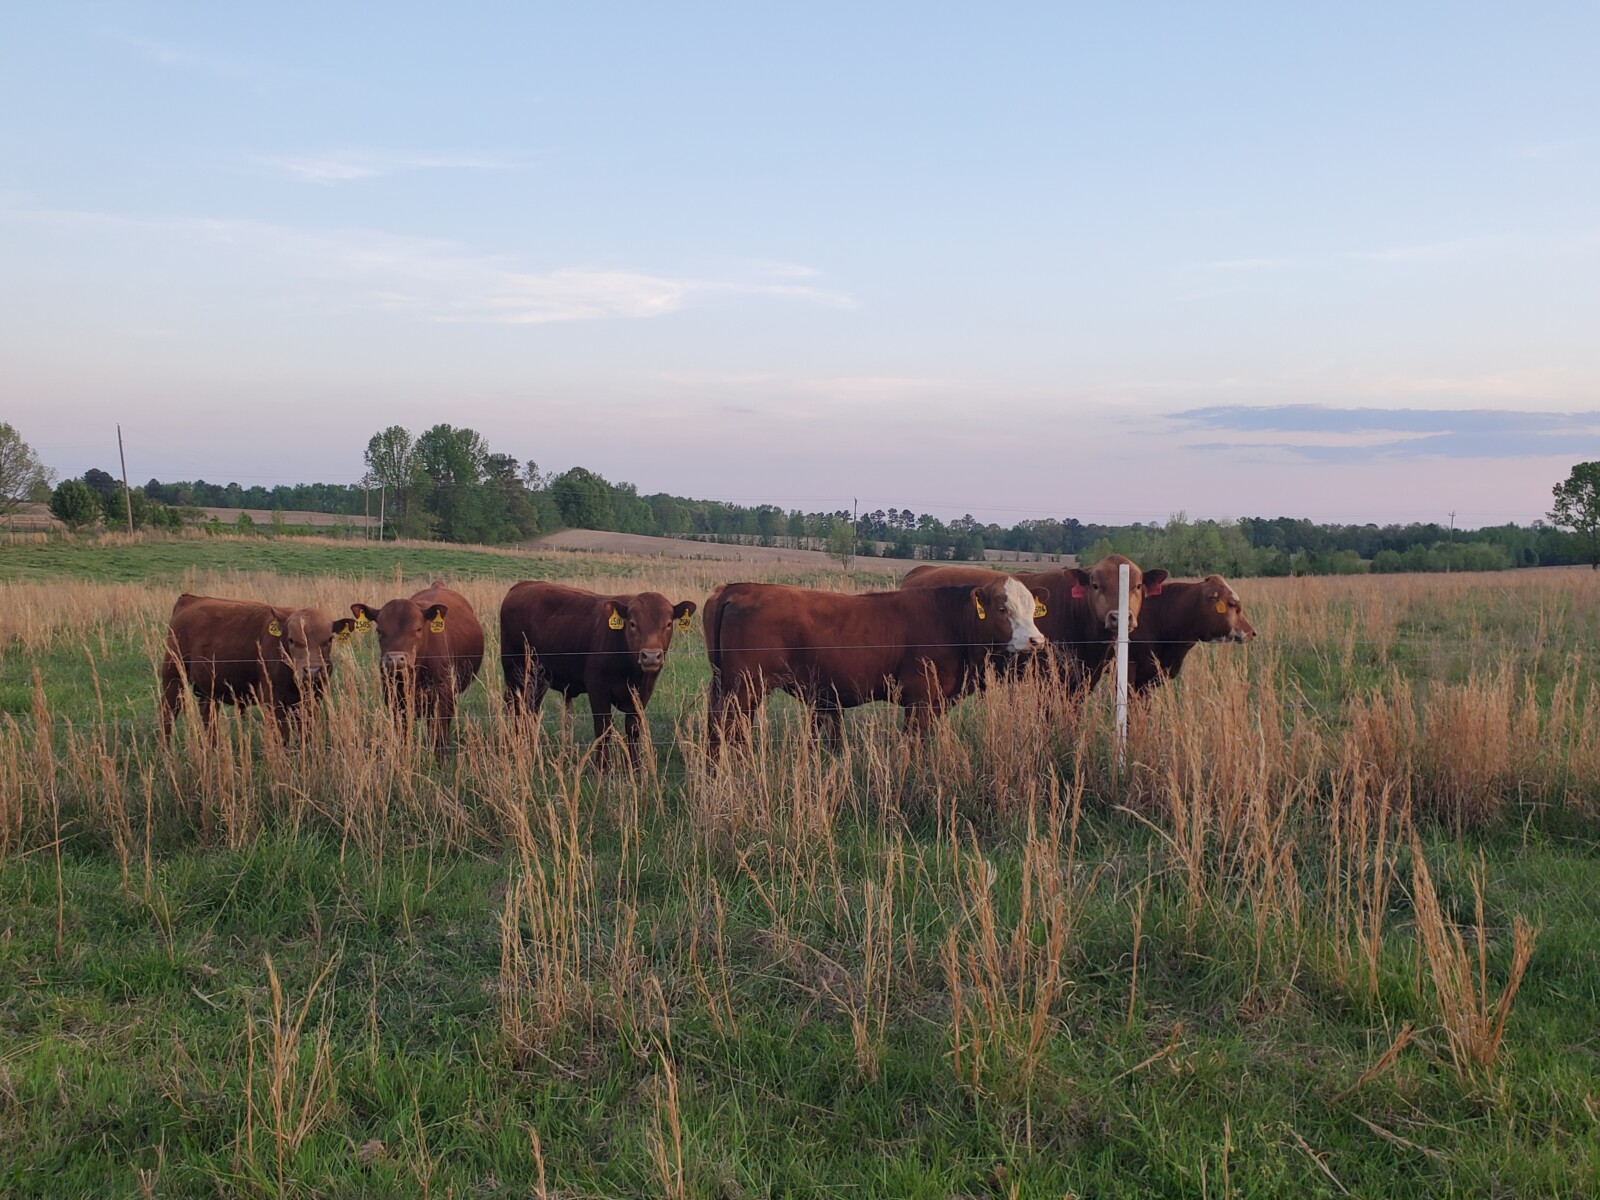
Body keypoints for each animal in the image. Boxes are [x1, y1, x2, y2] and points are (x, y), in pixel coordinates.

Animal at [159, 594, 356, 737]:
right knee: (167, 716)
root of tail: (190, 599)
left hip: (209, 691)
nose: (312, 671)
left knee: (208, 719)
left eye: (329, 639)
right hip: (173, 679)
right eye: (291, 640)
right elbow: (282, 736)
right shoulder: (273, 702)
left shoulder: (311, 700)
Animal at [350, 583, 484, 757]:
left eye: (418, 629)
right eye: (379, 631)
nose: (395, 659)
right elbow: (402, 734)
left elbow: (439, 736)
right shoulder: (393, 697)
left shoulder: (443, 695)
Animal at [500, 581, 697, 766]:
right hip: (515, 673)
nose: (650, 656)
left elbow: (633, 730)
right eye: (633, 624)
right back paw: (514, 745)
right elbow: (603, 730)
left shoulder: (642, 694)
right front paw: (603, 769)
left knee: (530, 710)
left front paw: (636, 768)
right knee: (515, 708)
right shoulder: (597, 689)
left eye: (668, 624)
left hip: (538, 680)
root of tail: (522, 585)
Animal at [704, 576, 1046, 756]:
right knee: (731, 727)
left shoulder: (935, 701)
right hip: (744, 687)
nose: (1036, 640)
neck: (950, 622)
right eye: (1002, 608)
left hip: (727, 684)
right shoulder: (921, 698)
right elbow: (916, 741)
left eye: (1033, 609)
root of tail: (738, 588)